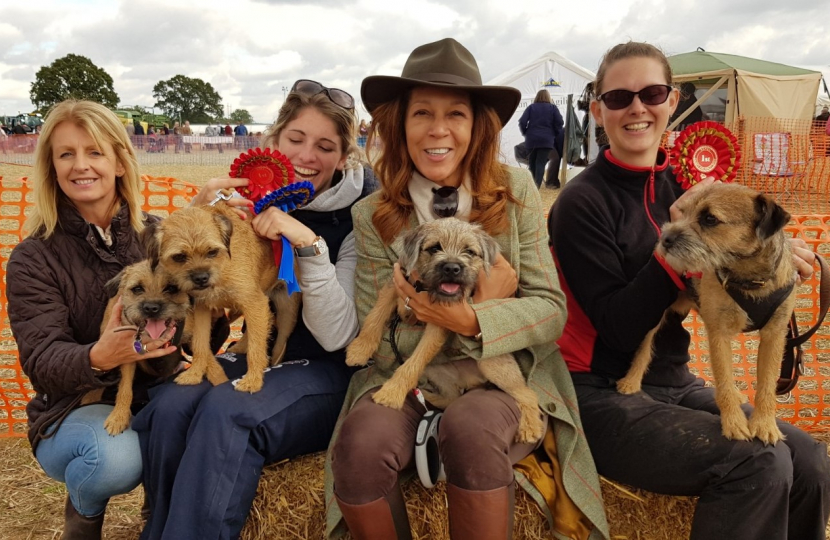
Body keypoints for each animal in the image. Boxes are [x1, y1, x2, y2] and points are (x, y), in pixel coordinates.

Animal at [83, 260, 190, 434]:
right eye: (137, 289)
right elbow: (125, 388)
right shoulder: (126, 356)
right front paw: (118, 416)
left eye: (171, 288)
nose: (151, 308)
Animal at [144, 201, 302, 392]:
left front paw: (253, 380)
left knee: (278, 343)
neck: (223, 265)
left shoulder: (254, 302)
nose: (201, 278)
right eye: (179, 257)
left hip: (287, 313)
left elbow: (256, 348)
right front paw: (194, 374)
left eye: (212, 251)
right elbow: (200, 343)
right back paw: (240, 347)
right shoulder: (202, 309)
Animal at [344, 216, 544, 442]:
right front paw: (360, 349)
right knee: (451, 397)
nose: (451, 268)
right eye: (434, 248)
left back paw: (530, 428)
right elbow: (375, 315)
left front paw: (391, 393)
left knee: (528, 394)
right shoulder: (394, 284)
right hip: (437, 372)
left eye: (469, 251)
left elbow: (414, 361)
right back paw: (428, 395)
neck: (424, 287)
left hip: (493, 366)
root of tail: (471, 380)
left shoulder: (439, 320)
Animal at [624, 184, 792, 446]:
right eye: (682, 212)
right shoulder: (718, 334)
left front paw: (765, 424)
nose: (665, 239)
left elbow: (766, 384)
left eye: (710, 218)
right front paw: (733, 423)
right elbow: (723, 380)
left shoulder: (774, 335)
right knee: (644, 348)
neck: (748, 280)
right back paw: (630, 382)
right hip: (654, 314)